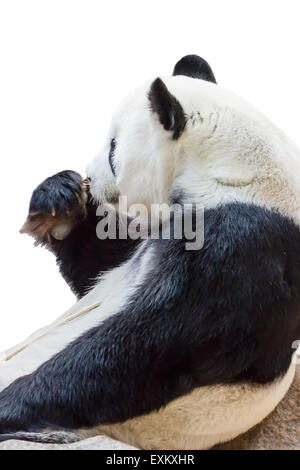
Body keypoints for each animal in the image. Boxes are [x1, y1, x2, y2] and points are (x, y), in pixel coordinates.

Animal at [0, 53, 298, 450]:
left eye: (113, 149)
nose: (90, 176)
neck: (232, 169)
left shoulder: (242, 248)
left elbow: (145, 350)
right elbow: (98, 265)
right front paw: (59, 199)